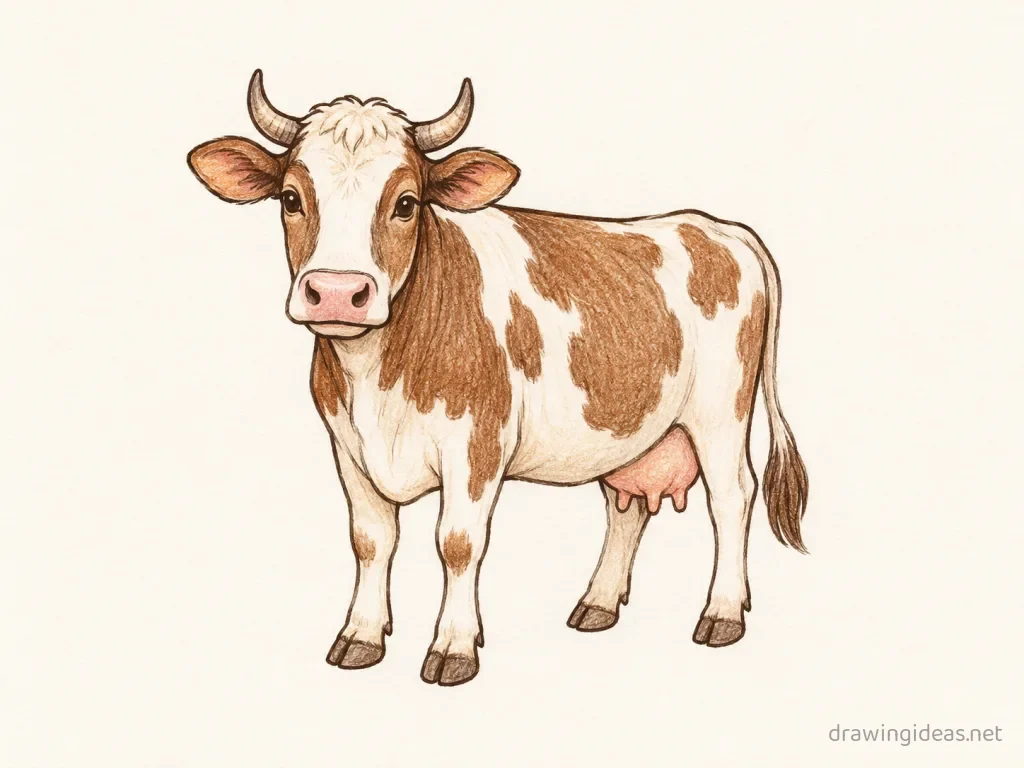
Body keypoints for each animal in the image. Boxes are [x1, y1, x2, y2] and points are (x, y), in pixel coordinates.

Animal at [187, 71, 809, 686]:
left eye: (406, 203)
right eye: (291, 198)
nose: (338, 291)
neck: (378, 380)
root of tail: (715, 227)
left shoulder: (477, 442)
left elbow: (458, 543)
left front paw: (454, 647)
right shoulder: (347, 445)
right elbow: (370, 541)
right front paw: (360, 636)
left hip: (720, 414)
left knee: (732, 498)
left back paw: (722, 614)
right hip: (634, 430)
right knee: (625, 506)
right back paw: (597, 604)